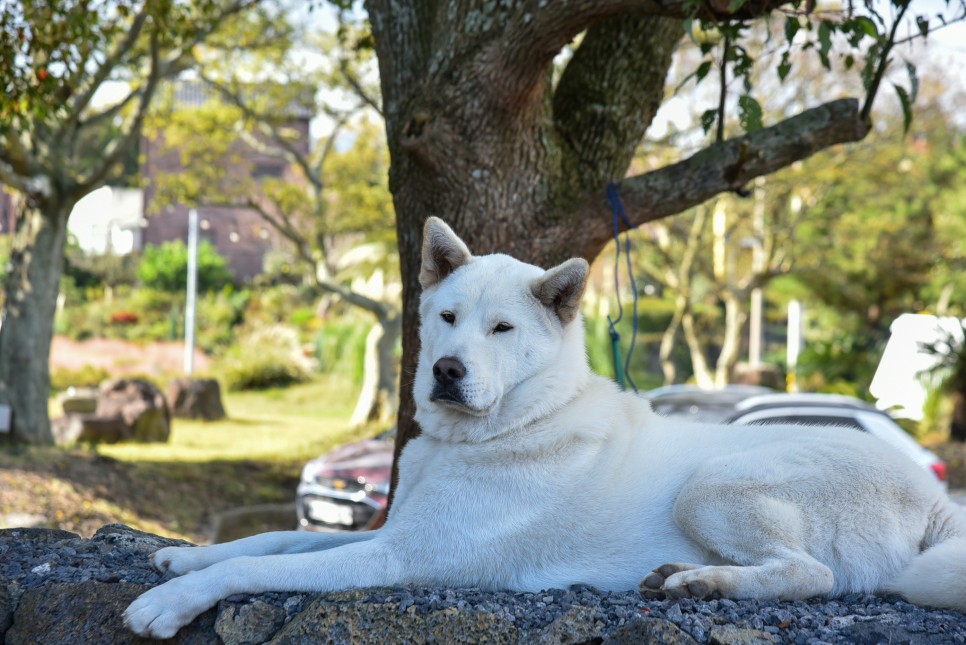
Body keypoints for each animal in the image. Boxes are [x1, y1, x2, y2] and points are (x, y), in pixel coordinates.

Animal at [125, 218, 966, 640]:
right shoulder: (391, 530)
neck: (500, 426)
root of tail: (934, 498)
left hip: (712, 483)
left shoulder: (400, 556)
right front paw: (180, 557)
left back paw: (705, 579)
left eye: (501, 329)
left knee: (811, 574)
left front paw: (171, 602)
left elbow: (258, 565)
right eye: (448, 317)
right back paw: (681, 574)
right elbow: (270, 538)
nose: (448, 370)